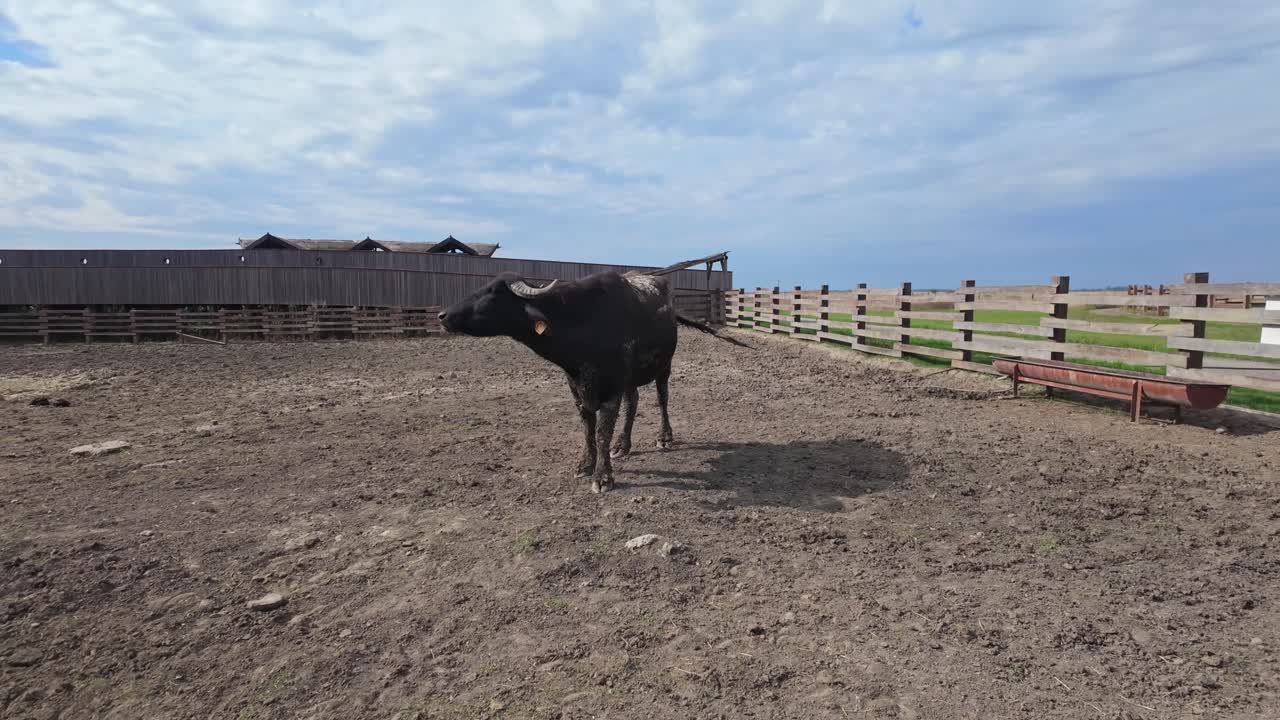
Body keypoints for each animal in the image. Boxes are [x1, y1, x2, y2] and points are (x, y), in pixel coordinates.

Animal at [439, 270, 747, 493]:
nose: (442, 315)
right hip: (631, 379)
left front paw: (603, 477)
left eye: (492, 294)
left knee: (662, 398)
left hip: (664, 366)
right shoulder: (576, 386)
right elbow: (587, 429)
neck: (582, 323)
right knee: (633, 403)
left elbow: (601, 432)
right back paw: (623, 445)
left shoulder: (611, 388)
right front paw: (585, 465)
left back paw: (664, 437)